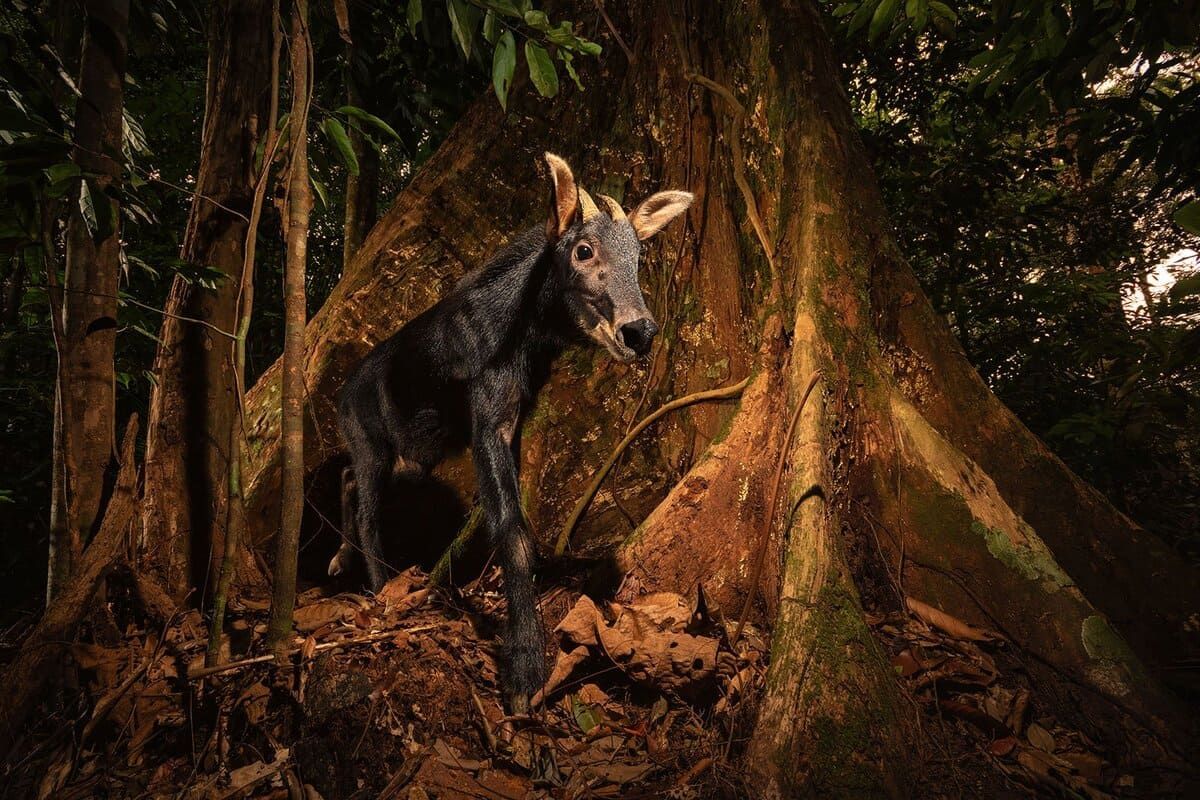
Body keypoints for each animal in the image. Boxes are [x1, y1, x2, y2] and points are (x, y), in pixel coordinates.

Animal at [330, 152, 692, 709]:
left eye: (639, 255)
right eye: (583, 250)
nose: (639, 332)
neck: (522, 331)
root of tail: (343, 393)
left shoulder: (513, 418)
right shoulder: (488, 418)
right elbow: (513, 530)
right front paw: (523, 666)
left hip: (412, 458)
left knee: (348, 478)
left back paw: (339, 558)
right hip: (372, 446)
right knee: (369, 509)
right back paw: (376, 588)